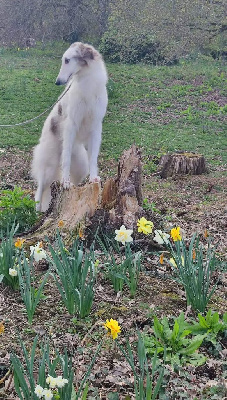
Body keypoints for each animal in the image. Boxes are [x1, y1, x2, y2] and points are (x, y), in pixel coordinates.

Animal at [31, 42, 108, 212]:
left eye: (67, 60)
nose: (58, 81)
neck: (88, 82)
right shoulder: (71, 124)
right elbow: (65, 160)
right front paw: (65, 181)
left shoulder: (96, 127)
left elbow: (93, 159)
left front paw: (94, 178)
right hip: (48, 167)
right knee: (40, 190)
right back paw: (37, 211)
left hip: (80, 165)